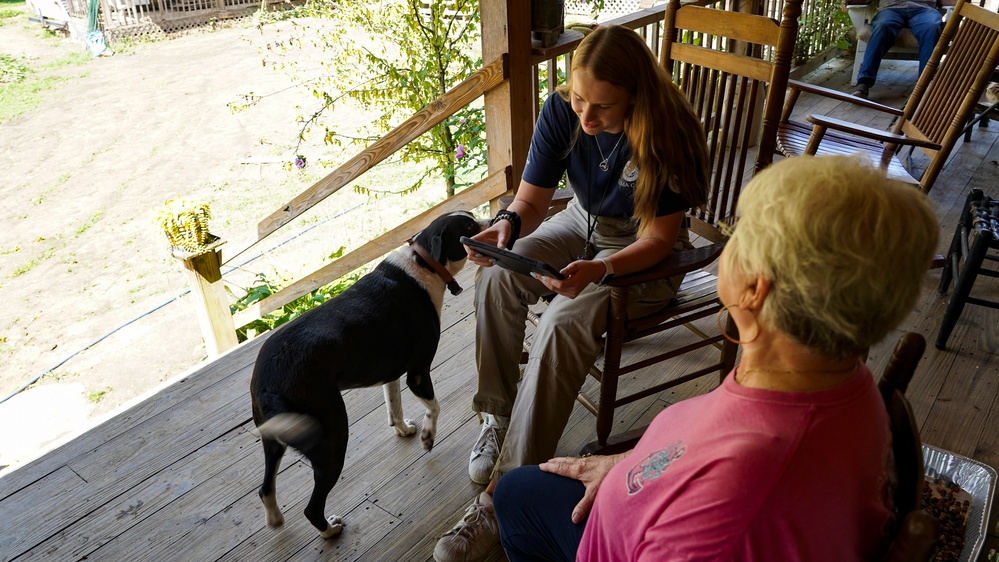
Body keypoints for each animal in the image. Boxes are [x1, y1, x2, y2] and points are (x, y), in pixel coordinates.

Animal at [250, 211, 484, 540]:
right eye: (470, 227)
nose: (497, 221)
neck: (424, 261)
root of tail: (269, 381)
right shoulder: (417, 373)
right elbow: (434, 407)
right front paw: (427, 437)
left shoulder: (392, 373)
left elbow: (394, 406)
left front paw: (404, 429)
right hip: (333, 435)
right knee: (311, 507)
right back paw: (330, 530)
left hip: (274, 439)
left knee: (265, 488)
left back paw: (274, 519)